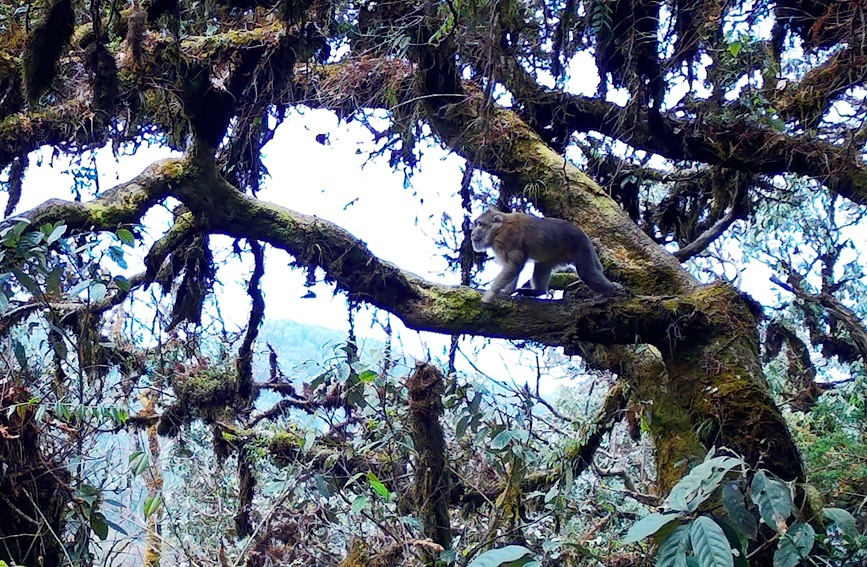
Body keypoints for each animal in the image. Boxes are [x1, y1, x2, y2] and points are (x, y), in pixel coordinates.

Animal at [472, 209, 620, 304]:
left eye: (480, 224)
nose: (472, 233)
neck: (498, 230)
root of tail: (585, 236)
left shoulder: (507, 238)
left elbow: (515, 264)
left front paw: (490, 295)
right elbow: (512, 266)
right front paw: (507, 291)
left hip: (581, 248)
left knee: (586, 272)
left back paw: (608, 292)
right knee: (542, 265)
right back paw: (538, 292)